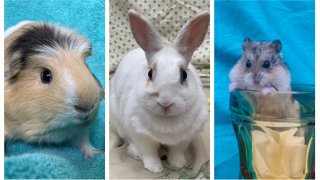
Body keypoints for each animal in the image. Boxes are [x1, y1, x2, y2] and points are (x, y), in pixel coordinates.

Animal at [4, 20, 104, 159]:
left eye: (85, 66)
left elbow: (84, 141)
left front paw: (95, 154)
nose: (86, 107)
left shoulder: (80, 129)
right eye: (46, 75)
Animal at [110, 9, 210, 173]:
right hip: (120, 124)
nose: (165, 102)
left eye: (184, 74)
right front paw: (155, 168)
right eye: (150, 73)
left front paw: (178, 164)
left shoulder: (183, 140)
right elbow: (149, 153)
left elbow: (177, 151)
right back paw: (135, 153)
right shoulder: (141, 136)